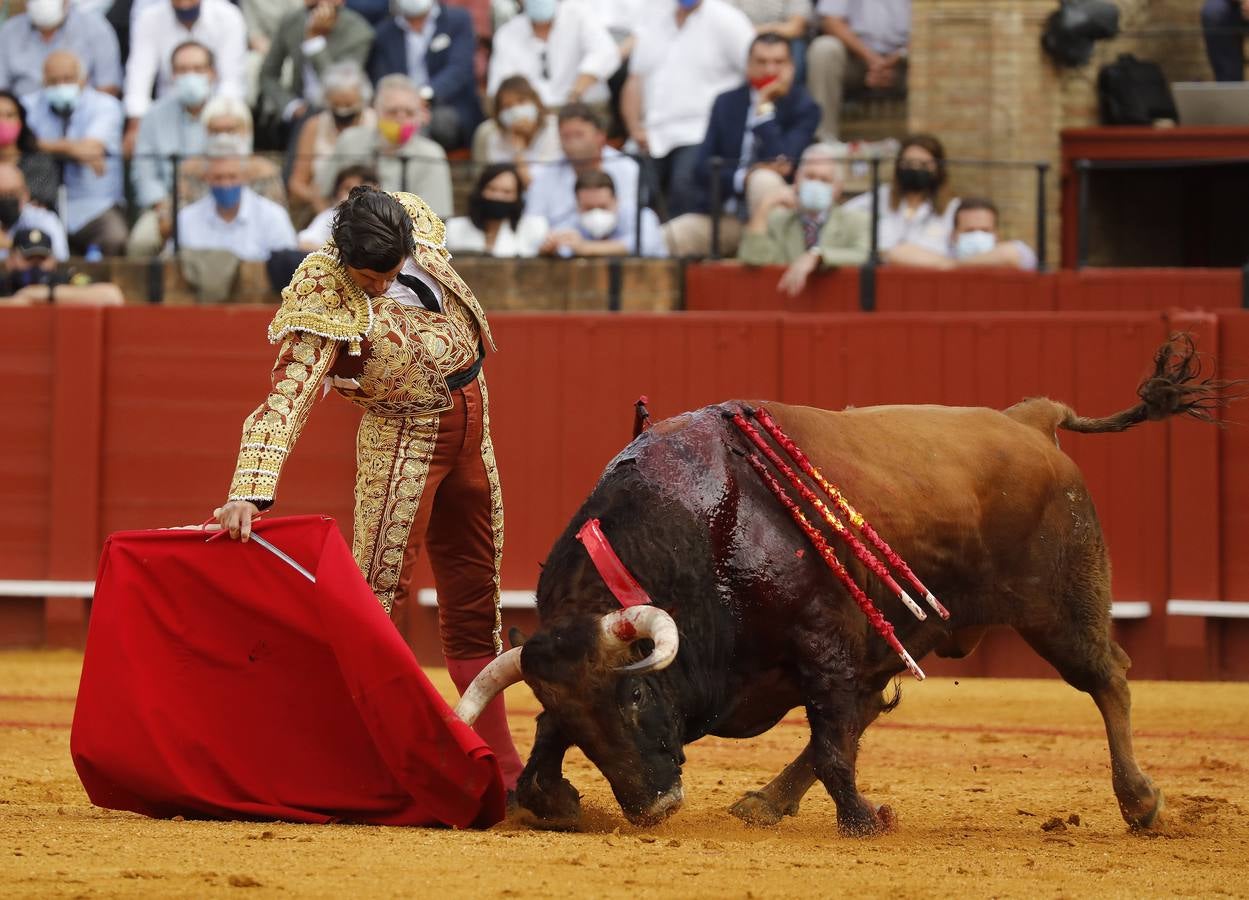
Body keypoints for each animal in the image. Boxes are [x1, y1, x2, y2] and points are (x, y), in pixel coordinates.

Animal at [454, 337, 1224, 833]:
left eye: (638, 695)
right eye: (580, 713)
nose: (654, 807)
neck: (699, 534)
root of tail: (1029, 419)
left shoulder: (820, 637)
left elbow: (830, 736)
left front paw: (862, 819)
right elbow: (548, 732)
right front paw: (545, 798)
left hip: (1061, 608)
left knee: (1107, 677)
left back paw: (1140, 803)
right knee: (867, 708)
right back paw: (765, 802)